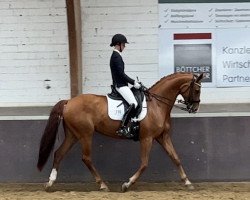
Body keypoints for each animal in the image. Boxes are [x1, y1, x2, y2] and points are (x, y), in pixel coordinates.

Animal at [38, 72, 204, 192]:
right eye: (197, 90)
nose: (195, 108)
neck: (157, 105)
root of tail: (68, 102)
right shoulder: (147, 138)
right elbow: (144, 163)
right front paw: (127, 184)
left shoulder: (162, 136)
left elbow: (175, 158)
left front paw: (187, 182)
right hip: (85, 134)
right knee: (86, 158)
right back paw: (102, 185)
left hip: (73, 135)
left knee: (59, 153)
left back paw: (49, 183)